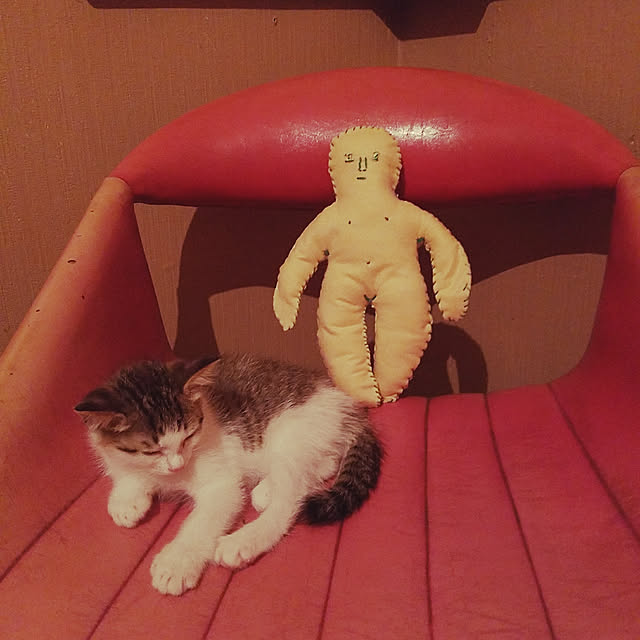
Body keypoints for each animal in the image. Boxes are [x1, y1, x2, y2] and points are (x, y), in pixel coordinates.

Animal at [75, 353, 383, 596]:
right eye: (151, 451)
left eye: (189, 436)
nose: (177, 465)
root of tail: (350, 407)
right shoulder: (115, 455)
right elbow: (125, 472)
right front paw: (126, 500)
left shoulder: (221, 484)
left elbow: (204, 520)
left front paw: (177, 562)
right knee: (324, 463)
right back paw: (267, 490)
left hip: (292, 432)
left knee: (289, 498)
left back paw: (244, 538)